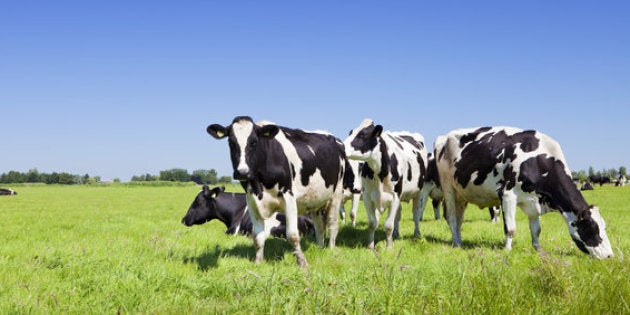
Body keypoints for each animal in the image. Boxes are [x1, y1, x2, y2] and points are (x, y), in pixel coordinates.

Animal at [207, 117, 346, 268]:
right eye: (231, 142)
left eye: (254, 142)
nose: (242, 172)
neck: (259, 185)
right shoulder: (252, 201)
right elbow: (257, 237)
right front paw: (258, 263)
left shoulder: (289, 198)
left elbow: (292, 235)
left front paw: (302, 263)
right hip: (316, 200)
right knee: (319, 225)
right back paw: (320, 247)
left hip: (336, 193)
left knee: (332, 223)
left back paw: (331, 249)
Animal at [344, 119, 432, 251]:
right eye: (351, 133)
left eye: (362, 135)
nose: (341, 147)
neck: (379, 173)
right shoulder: (367, 196)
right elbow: (372, 223)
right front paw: (370, 246)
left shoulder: (395, 196)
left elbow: (388, 225)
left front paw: (389, 248)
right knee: (398, 215)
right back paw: (396, 233)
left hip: (419, 192)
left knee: (416, 214)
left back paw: (417, 234)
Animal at [436, 126, 616, 260]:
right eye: (592, 228)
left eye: (604, 227)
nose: (609, 256)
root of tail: (443, 137)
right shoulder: (507, 194)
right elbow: (511, 228)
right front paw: (507, 250)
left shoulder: (534, 201)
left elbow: (536, 230)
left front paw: (538, 249)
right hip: (447, 186)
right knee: (451, 217)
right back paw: (456, 244)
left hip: (462, 194)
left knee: (459, 220)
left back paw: (459, 240)